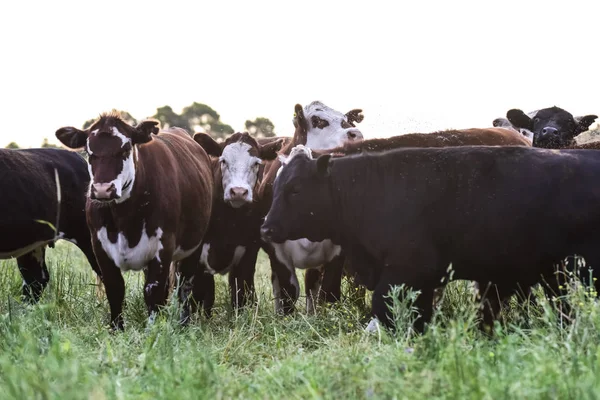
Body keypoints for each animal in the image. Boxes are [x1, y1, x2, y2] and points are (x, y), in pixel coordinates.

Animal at [54, 113, 213, 332]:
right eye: (89, 151)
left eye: (125, 149)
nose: (103, 189)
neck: (124, 219)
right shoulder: (99, 245)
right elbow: (114, 287)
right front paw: (116, 328)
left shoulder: (163, 244)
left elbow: (154, 291)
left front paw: (152, 330)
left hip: (193, 246)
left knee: (184, 285)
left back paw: (184, 323)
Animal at [262, 145, 600, 332]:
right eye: (275, 187)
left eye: (295, 189)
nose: (266, 228)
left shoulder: (408, 270)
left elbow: (383, 306)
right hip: (555, 275)